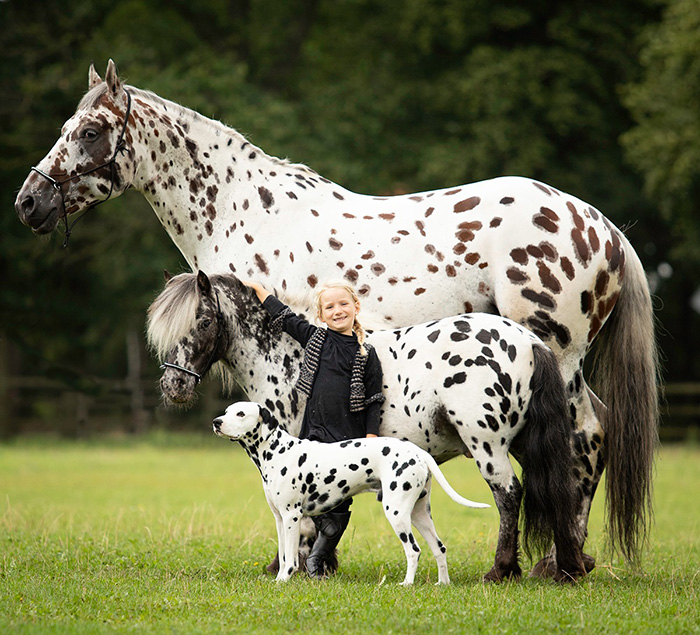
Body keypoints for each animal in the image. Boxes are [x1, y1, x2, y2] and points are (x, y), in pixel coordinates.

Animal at [211, 402, 490, 588]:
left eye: (240, 413)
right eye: (227, 411)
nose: (216, 422)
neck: (278, 451)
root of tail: (418, 452)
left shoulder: (292, 517)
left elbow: (289, 558)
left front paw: (284, 580)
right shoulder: (280, 519)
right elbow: (282, 555)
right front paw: (280, 578)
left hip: (397, 513)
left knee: (414, 550)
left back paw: (407, 584)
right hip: (420, 514)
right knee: (439, 548)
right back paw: (443, 583)